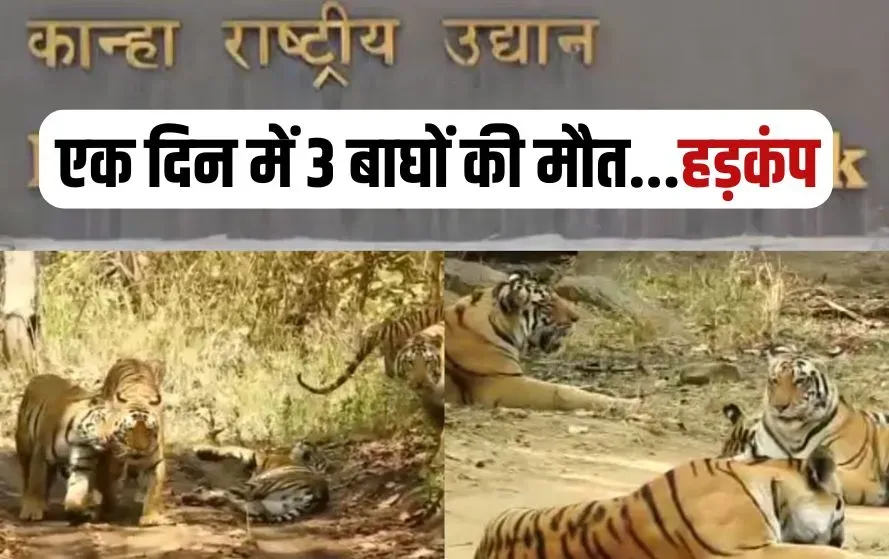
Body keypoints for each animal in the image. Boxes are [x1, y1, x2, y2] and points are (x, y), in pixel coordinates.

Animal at [15, 373, 114, 522]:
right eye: (102, 419)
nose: (109, 438)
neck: (78, 436)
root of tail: (39, 376)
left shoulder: (83, 462)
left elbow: (78, 485)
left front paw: (77, 506)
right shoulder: (41, 454)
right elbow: (36, 482)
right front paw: (32, 511)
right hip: (25, 447)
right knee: (27, 476)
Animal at [93, 357, 168, 526]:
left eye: (149, 430)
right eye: (130, 430)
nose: (139, 451)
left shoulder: (155, 462)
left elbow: (154, 489)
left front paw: (150, 517)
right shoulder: (113, 460)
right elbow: (108, 486)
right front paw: (108, 510)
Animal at [182, 441, 329, 523]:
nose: (307, 441)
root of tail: (319, 495)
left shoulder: (257, 456)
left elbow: (232, 447)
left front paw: (200, 449)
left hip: (258, 484)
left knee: (227, 493)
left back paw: (191, 495)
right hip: (273, 505)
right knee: (248, 506)